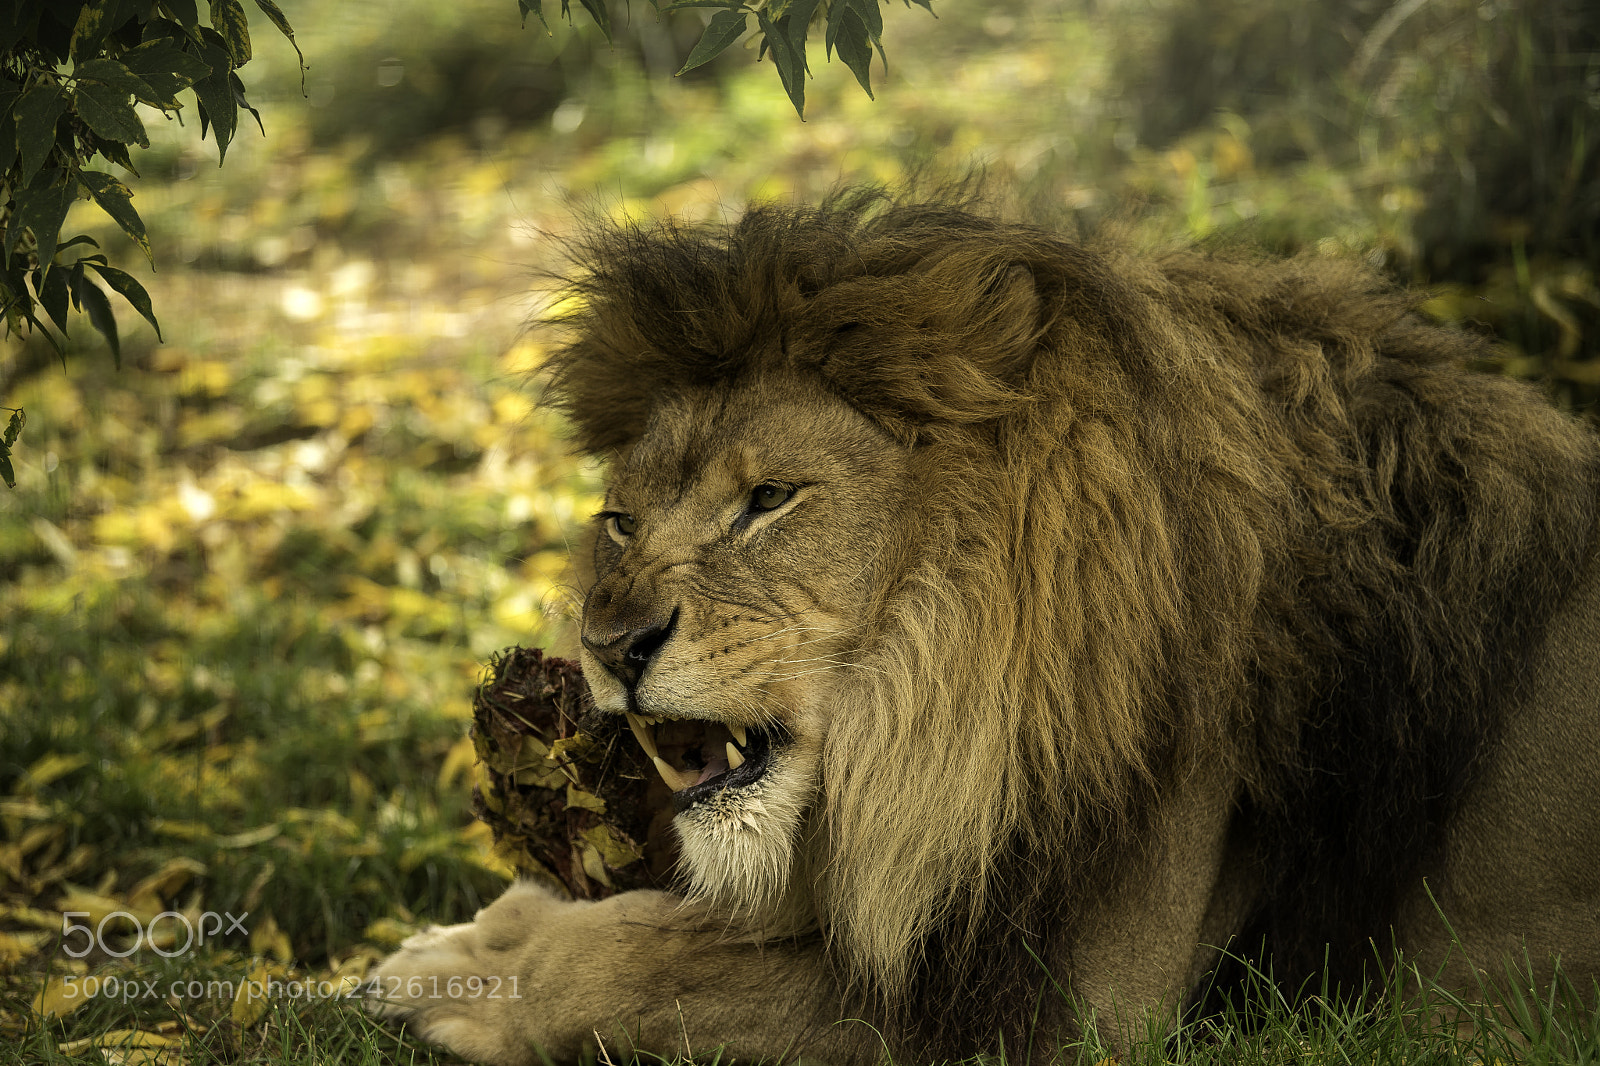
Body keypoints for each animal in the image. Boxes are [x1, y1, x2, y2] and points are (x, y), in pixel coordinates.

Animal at [370, 189, 1600, 1064]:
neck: (941, 687)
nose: (611, 645)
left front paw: (466, 967)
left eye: (768, 500)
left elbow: (662, 970)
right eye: (619, 523)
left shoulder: (1077, 1000)